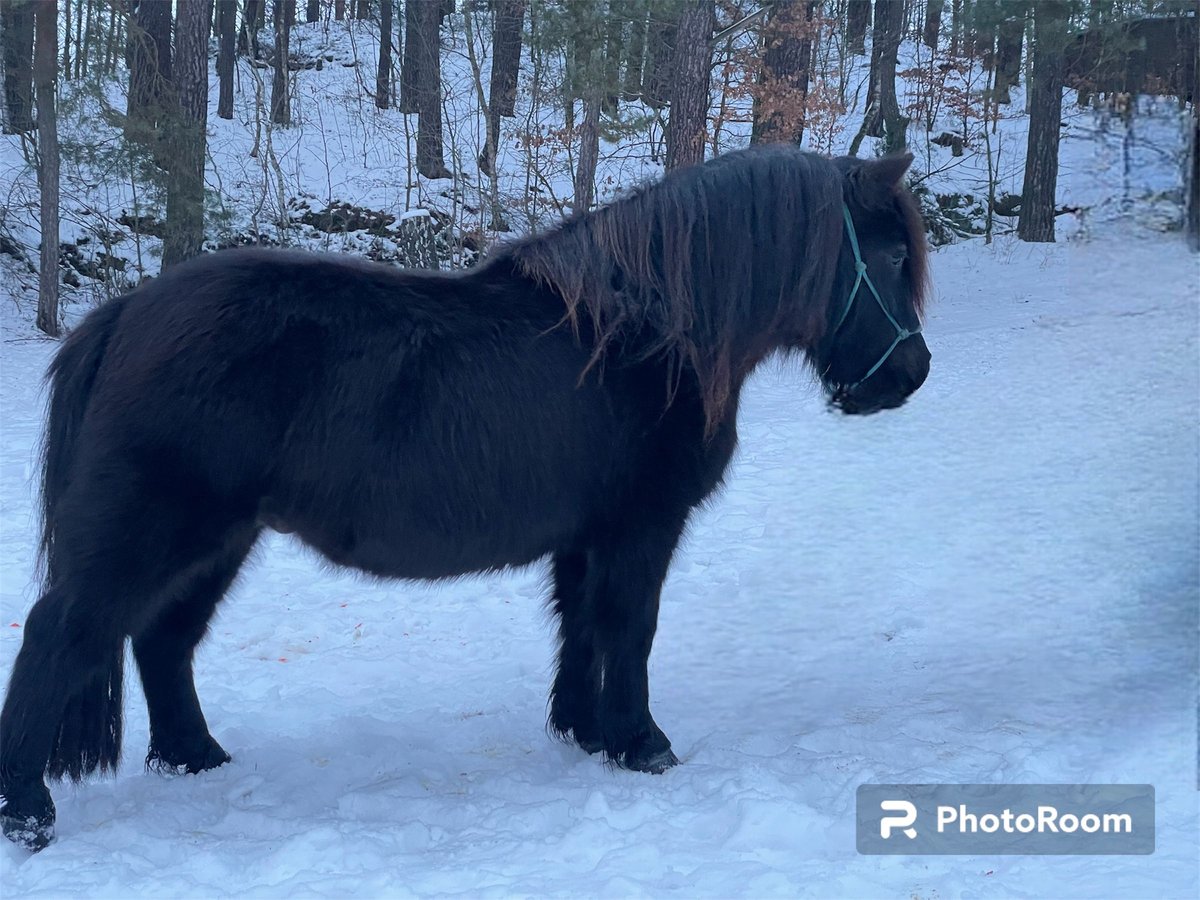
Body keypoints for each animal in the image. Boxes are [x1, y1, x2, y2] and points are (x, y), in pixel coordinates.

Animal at [0, 144, 931, 849]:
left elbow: (580, 629)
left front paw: (583, 731)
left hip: (220, 540)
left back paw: (195, 759)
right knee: (62, 635)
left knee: (163, 641)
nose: (910, 376)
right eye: (889, 255)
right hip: (153, 532)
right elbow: (629, 630)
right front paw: (641, 744)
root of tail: (127, 311)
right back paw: (29, 813)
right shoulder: (641, 528)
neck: (641, 333)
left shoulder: (585, 536)